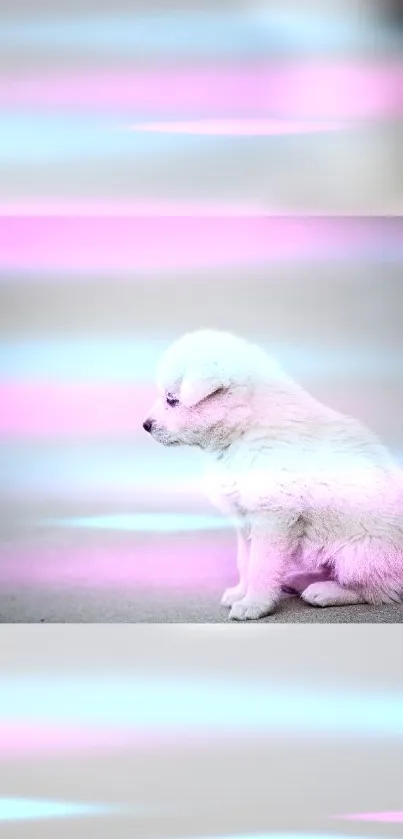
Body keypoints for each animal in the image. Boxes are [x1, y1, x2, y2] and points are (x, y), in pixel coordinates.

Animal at [144, 332, 403, 620]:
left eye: (172, 399)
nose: (145, 425)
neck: (244, 429)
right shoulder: (245, 518)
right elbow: (244, 562)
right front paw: (240, 593)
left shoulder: (273, 515)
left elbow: (260, 566)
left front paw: (253, 604)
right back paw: (298, 581)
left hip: (359, 553)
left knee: (378, 589)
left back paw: (324, 592)